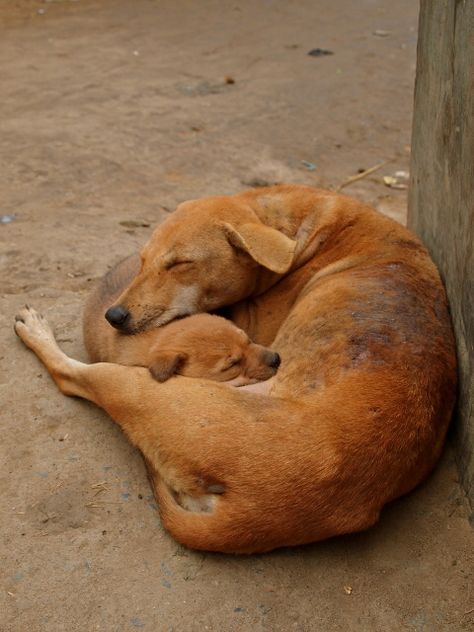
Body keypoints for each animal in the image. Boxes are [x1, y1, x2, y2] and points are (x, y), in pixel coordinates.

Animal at [14, 184, 458, 552]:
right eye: (143, 260)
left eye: (180, 264)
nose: (114, 316)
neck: (300, 228)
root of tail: (257, 513)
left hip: (133, 384)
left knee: (70, 375)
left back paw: (38, 332)